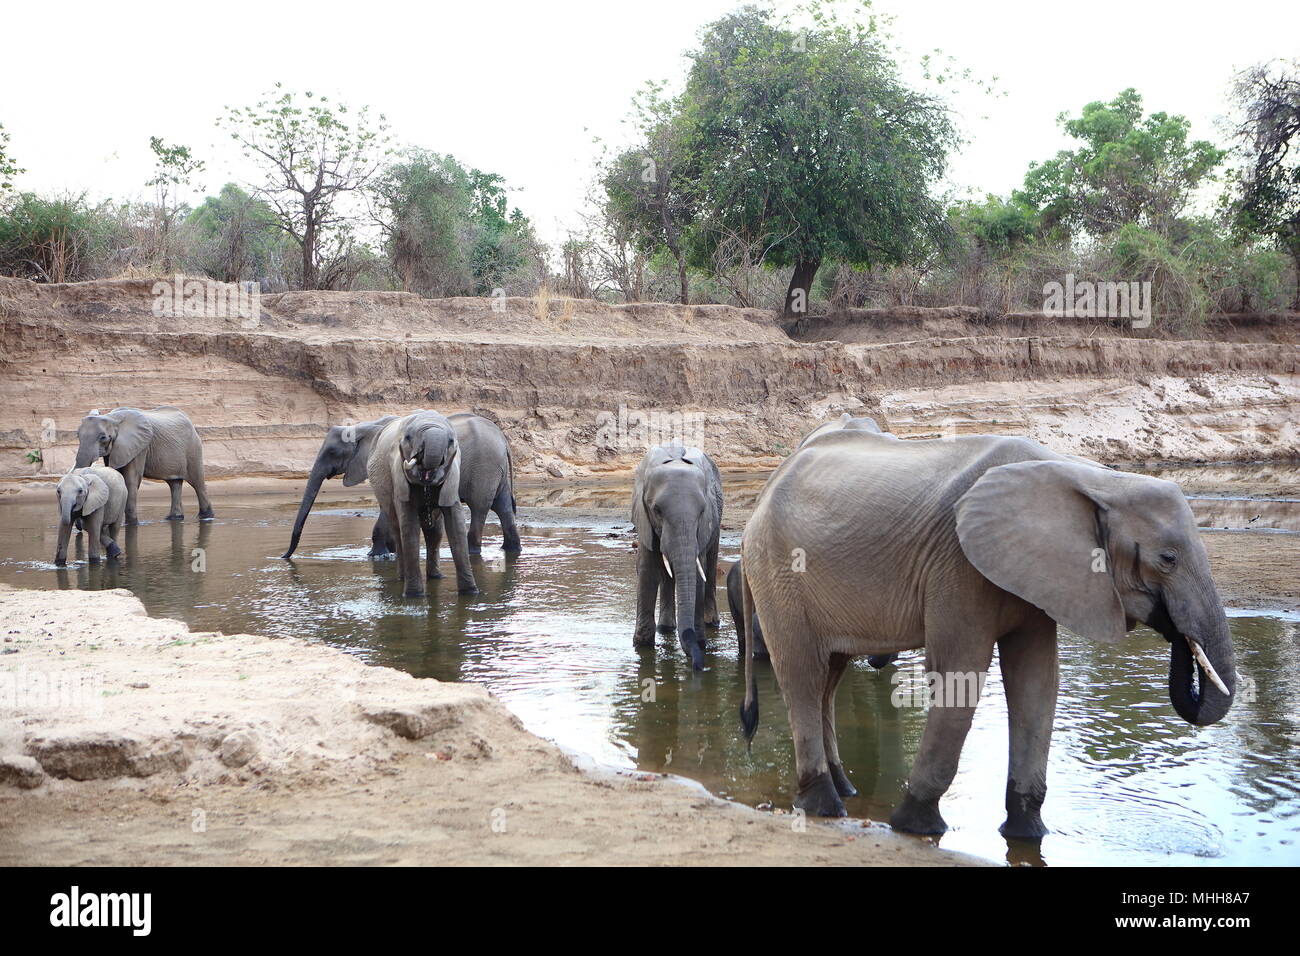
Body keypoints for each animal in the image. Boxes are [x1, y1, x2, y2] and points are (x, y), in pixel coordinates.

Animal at [76, 403, 213, 522]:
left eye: (103, 437)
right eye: (77, 435)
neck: (113, 418)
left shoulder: (140, 446)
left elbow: (131, 479)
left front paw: (131, 523)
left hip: (193, 449)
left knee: (197, 483)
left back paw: (206, 517)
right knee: (175, 484)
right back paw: (174, 518)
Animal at [286, 411, 522, 561]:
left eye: (332, 452)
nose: (285, 557)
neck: (367, 425)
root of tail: (503, 440)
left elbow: (387, 506)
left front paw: (377, 556)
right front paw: (390, 551)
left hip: (484, 467)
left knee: (479, 508)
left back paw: (474, 552)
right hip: (495, 469)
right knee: (503, 507)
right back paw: (511, 550)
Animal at [369, 408, 480, 598]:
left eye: (451, 441)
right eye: (407, 438)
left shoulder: (453, 474)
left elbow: (456, 526)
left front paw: (472, 593)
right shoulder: (397, 472)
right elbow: (409, 527)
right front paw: (414, 596)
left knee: (435, 532)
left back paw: (436, 577)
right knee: (398, 530)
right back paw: (402, 578)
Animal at [629, 442, 722, 671]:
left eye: (702, 511)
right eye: (657, 510)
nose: (699, 665)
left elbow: (697, 573)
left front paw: (701, 640)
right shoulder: (644, 520)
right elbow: (647, 571)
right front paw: (642, 646)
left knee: (710, 565)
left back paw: (711, 623)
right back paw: (666, 628)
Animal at [743, 434, 1237, 837]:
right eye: (1168, 558)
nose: (1178, 635)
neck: (1091, 477)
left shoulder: (1039, 575)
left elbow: (1036, 682)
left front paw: (1029, 834)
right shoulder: (958, 563)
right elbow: (960, 675)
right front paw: (917, 826)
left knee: (830, 677)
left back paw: (845, 789)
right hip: (778, 570)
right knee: (804, 675)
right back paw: (823, 806)